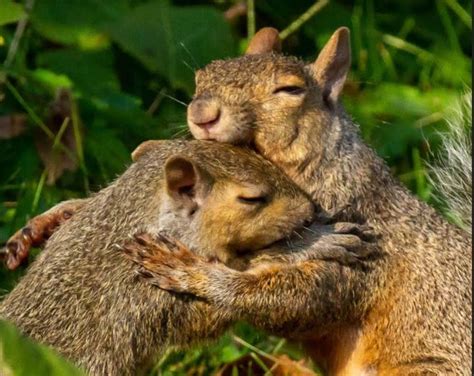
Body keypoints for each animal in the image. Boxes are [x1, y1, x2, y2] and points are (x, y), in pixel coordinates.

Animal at [130, 27, 470, 374]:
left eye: (290, 89)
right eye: (201, 77)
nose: (202, 115)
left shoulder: (365, 245)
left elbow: (297, 298)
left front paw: (190, 271)